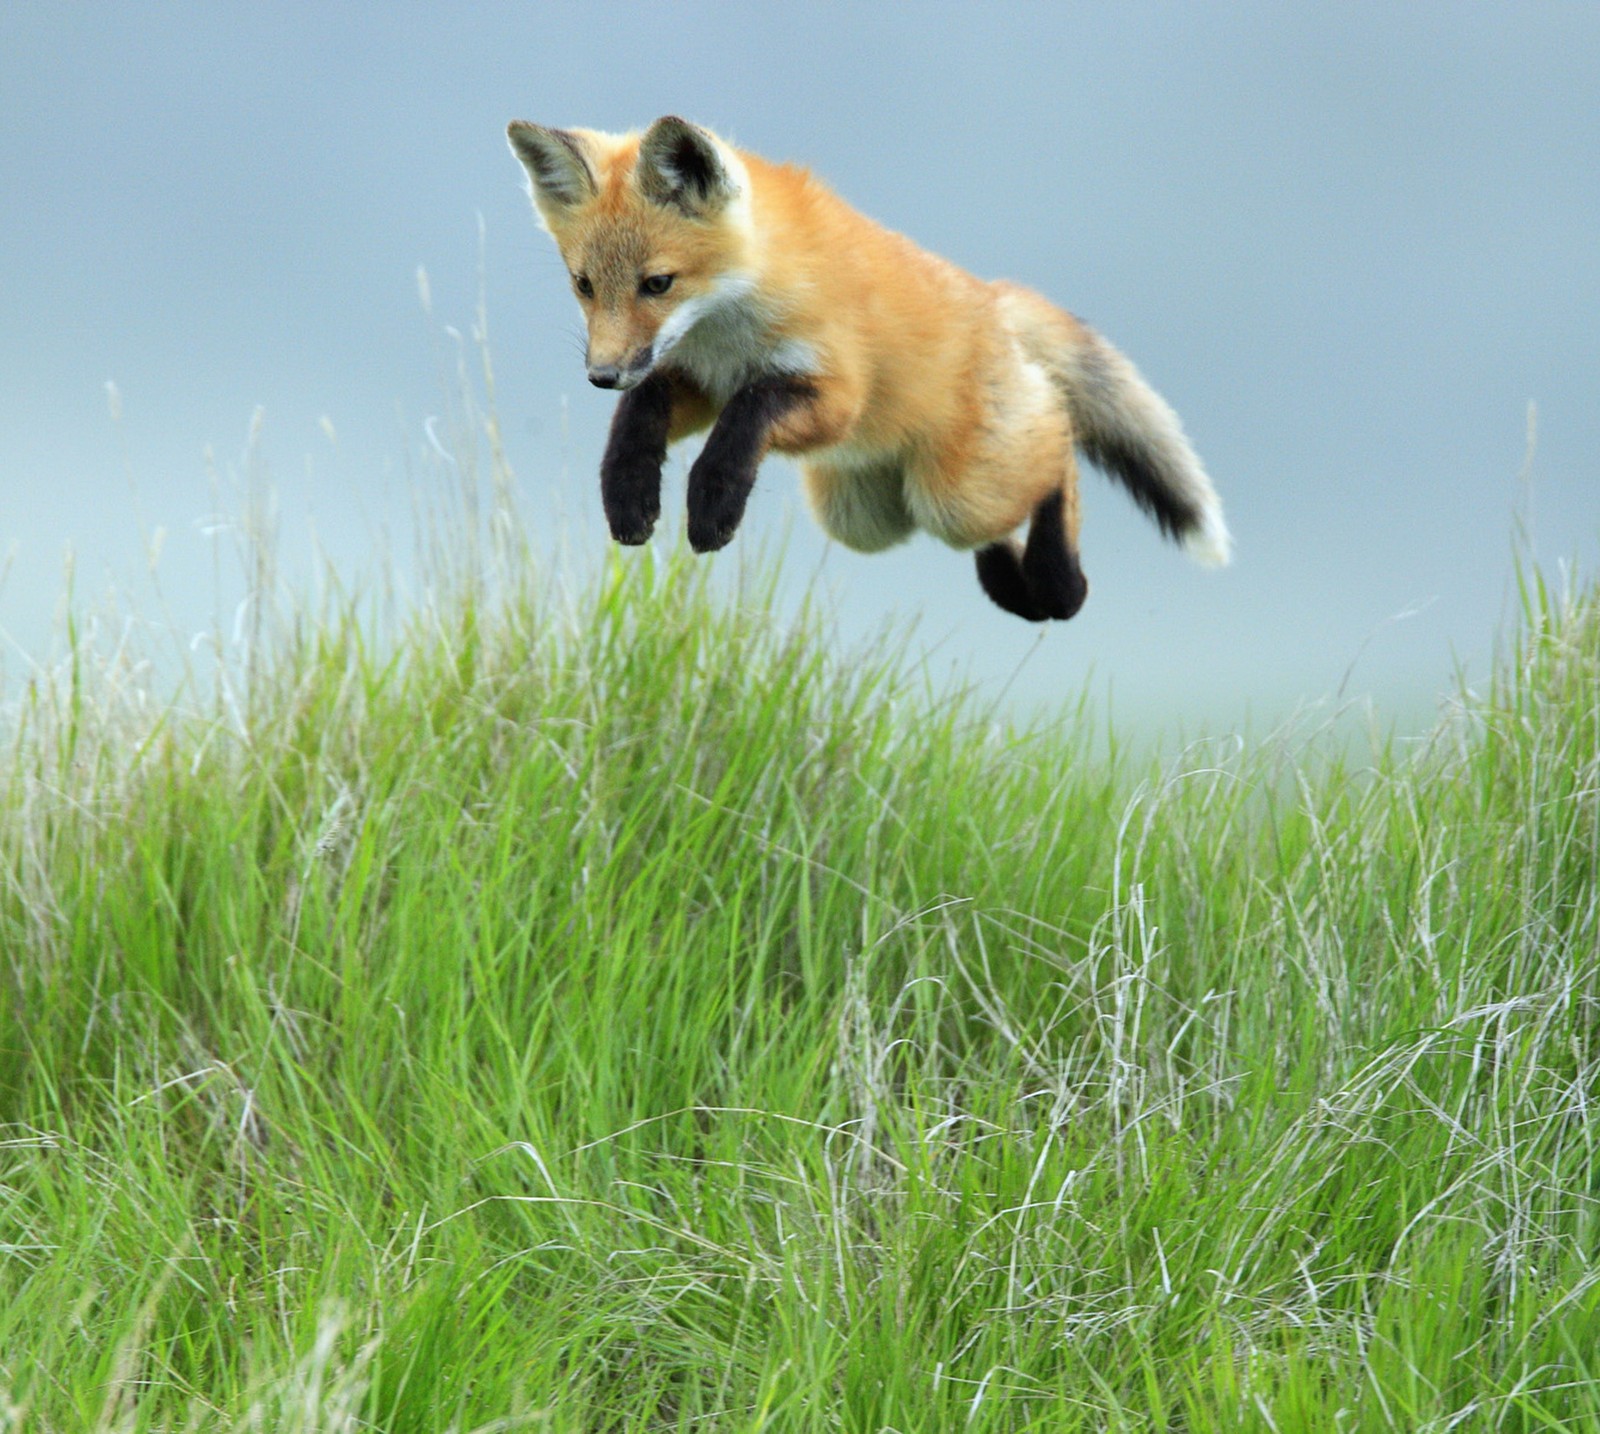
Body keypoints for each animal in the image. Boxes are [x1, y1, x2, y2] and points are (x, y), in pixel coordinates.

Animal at [505, 117, 1228, 620]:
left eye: (658, 284)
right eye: (583, 286)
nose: (600, 375)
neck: (729, 331)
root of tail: (994, 298)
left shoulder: (833, 395)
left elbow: (749, 414)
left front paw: (713, 500)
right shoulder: (694, 379)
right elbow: (640, 416)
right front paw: (628, 491)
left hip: (955, 494)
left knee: (1059, 448)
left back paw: (1062, 582)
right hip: (866, 518)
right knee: (999, 519)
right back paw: (1019, 589)